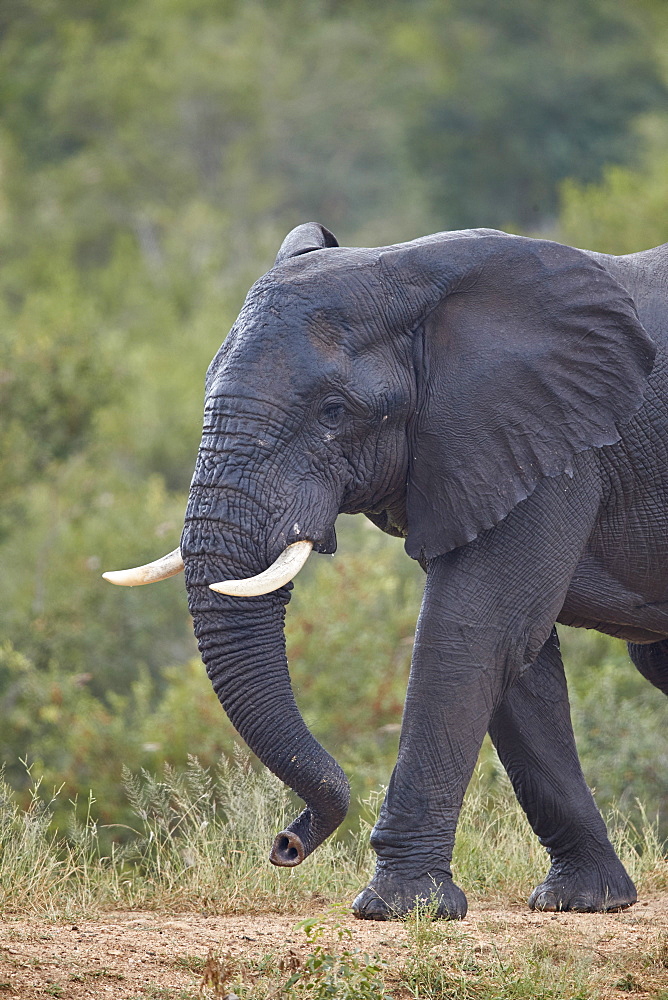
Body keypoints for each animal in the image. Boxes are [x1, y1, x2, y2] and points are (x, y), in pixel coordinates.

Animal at [103, 221, 668, 920]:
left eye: (333, 412)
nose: (286, 844)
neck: (418, 271)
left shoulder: (558, 444)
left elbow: (473, 630)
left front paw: (397, 908)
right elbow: (517, 654)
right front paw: (584, 901)